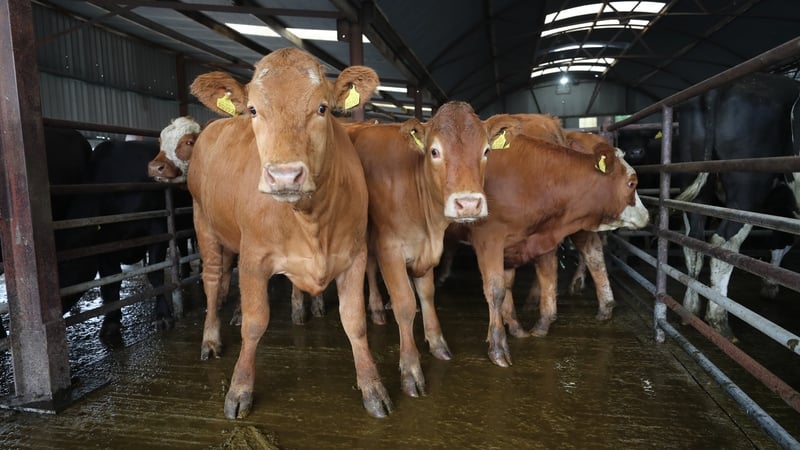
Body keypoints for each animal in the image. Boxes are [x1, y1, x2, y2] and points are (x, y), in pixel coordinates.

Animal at [187, 47, 391, 419]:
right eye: (254, 110)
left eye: (322, 108)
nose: (284, 176)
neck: (310, 221)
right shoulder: (254, 258)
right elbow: (256, 323)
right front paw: (239, 389)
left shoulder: (354, 255)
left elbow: (355, 321)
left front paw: (373, 387)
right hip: (203, 222)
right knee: (212, 279)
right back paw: (210, 338)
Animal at [347, 105, 515, 398]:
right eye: (434, 151)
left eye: (486, 151)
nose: (468, 204)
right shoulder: (389, 247)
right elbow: (405, 304)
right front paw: (411, 370)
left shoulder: (427, 250)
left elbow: (427, 294)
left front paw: (437, 343)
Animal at [450, 131, 649, 367]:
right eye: (632, 183)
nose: (647, 215)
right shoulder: (489, 240)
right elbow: (496, 290)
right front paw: (499, 346)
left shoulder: (521, 242)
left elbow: (529, 280)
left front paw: (522, 327)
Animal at [675, 72, 800, 342]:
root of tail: (718, 88)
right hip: (746, 191)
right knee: (724, 243)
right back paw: (719, 321)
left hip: (697, 187)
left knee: (693, 240)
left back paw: (690, 308)